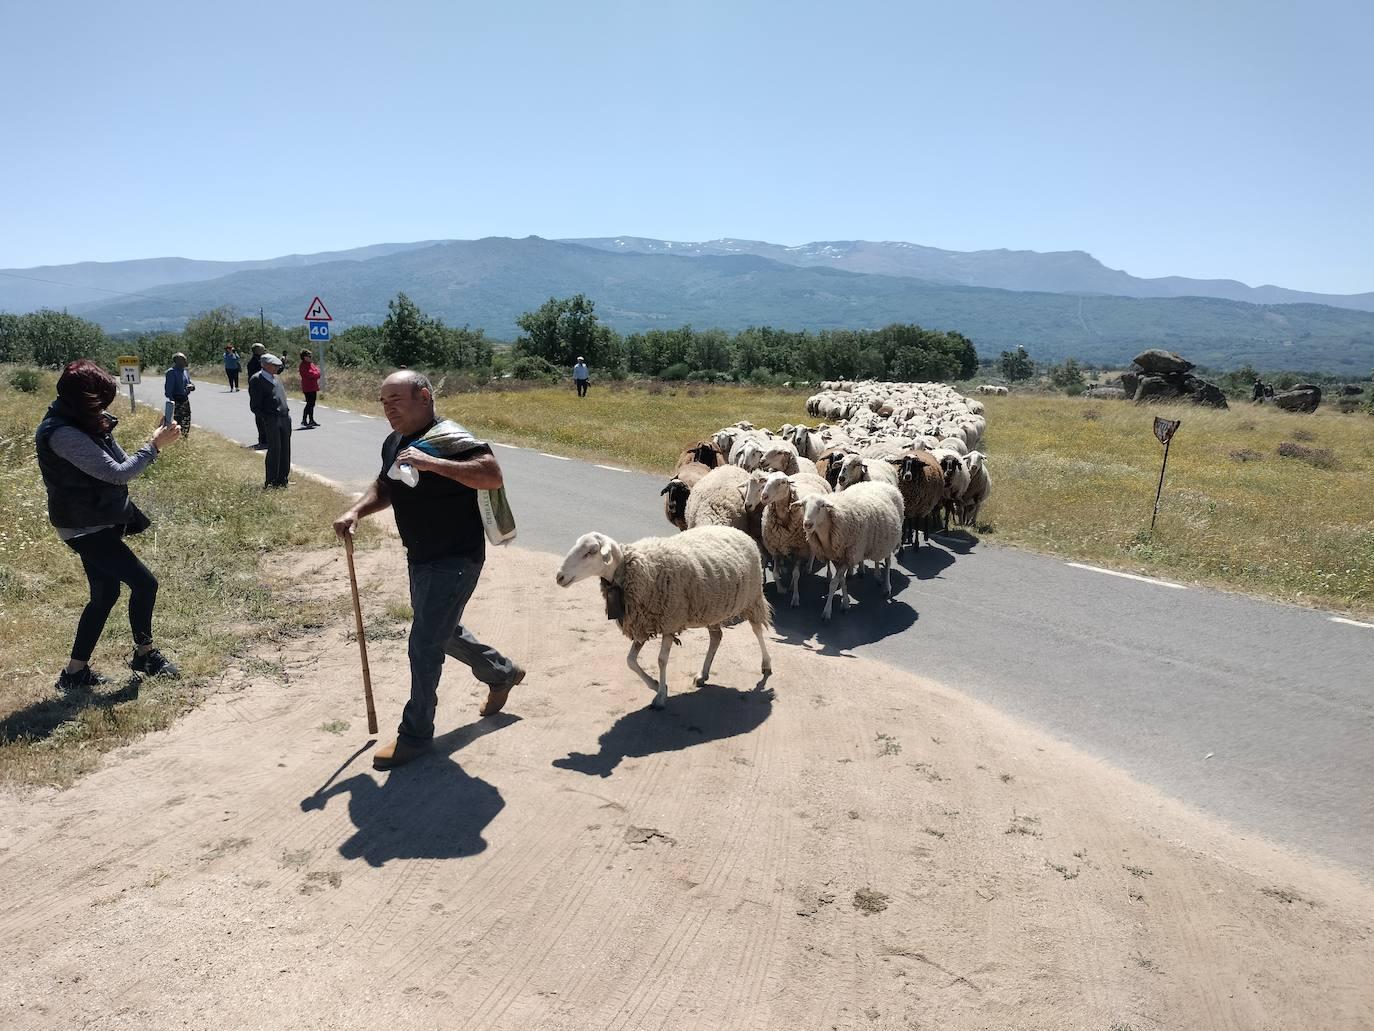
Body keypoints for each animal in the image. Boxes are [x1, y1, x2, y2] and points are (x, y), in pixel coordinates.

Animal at [555, 527, 774, 714]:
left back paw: (766, 665)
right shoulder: (642, 623)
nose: (559, 577)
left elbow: (661, 660)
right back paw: (703, 674)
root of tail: (736, 530)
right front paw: (656, 685)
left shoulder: (669, 621)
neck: (635, 569)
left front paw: (660, 697)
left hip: (752, 597)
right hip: (711, 608)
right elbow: (630, 661)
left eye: (591, 551)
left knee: (757, 630)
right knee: (716, 637)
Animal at [758, 472, 829, 610]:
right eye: (766, 480)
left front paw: (795, 598)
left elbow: (796, 574)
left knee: (812, 551)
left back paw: (808, 568)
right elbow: (775, 573)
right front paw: (781, 589)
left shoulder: (800, 549)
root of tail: (808, 473)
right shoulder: (775, 549)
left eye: (783, 482)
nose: (764, 496)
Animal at [802, 483, 906, 621]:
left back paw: (887, 587)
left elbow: (834, 583)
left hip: (889, 541)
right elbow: (841, 580)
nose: (807, 524)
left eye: (822, 506)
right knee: (877, 559)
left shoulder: (849, 556)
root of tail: (884, 484)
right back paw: (877, 576)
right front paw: (845, 604)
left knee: (888, 563)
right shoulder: (837, 557)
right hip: (877, 542)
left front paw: (827, 612)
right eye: (803, 505)